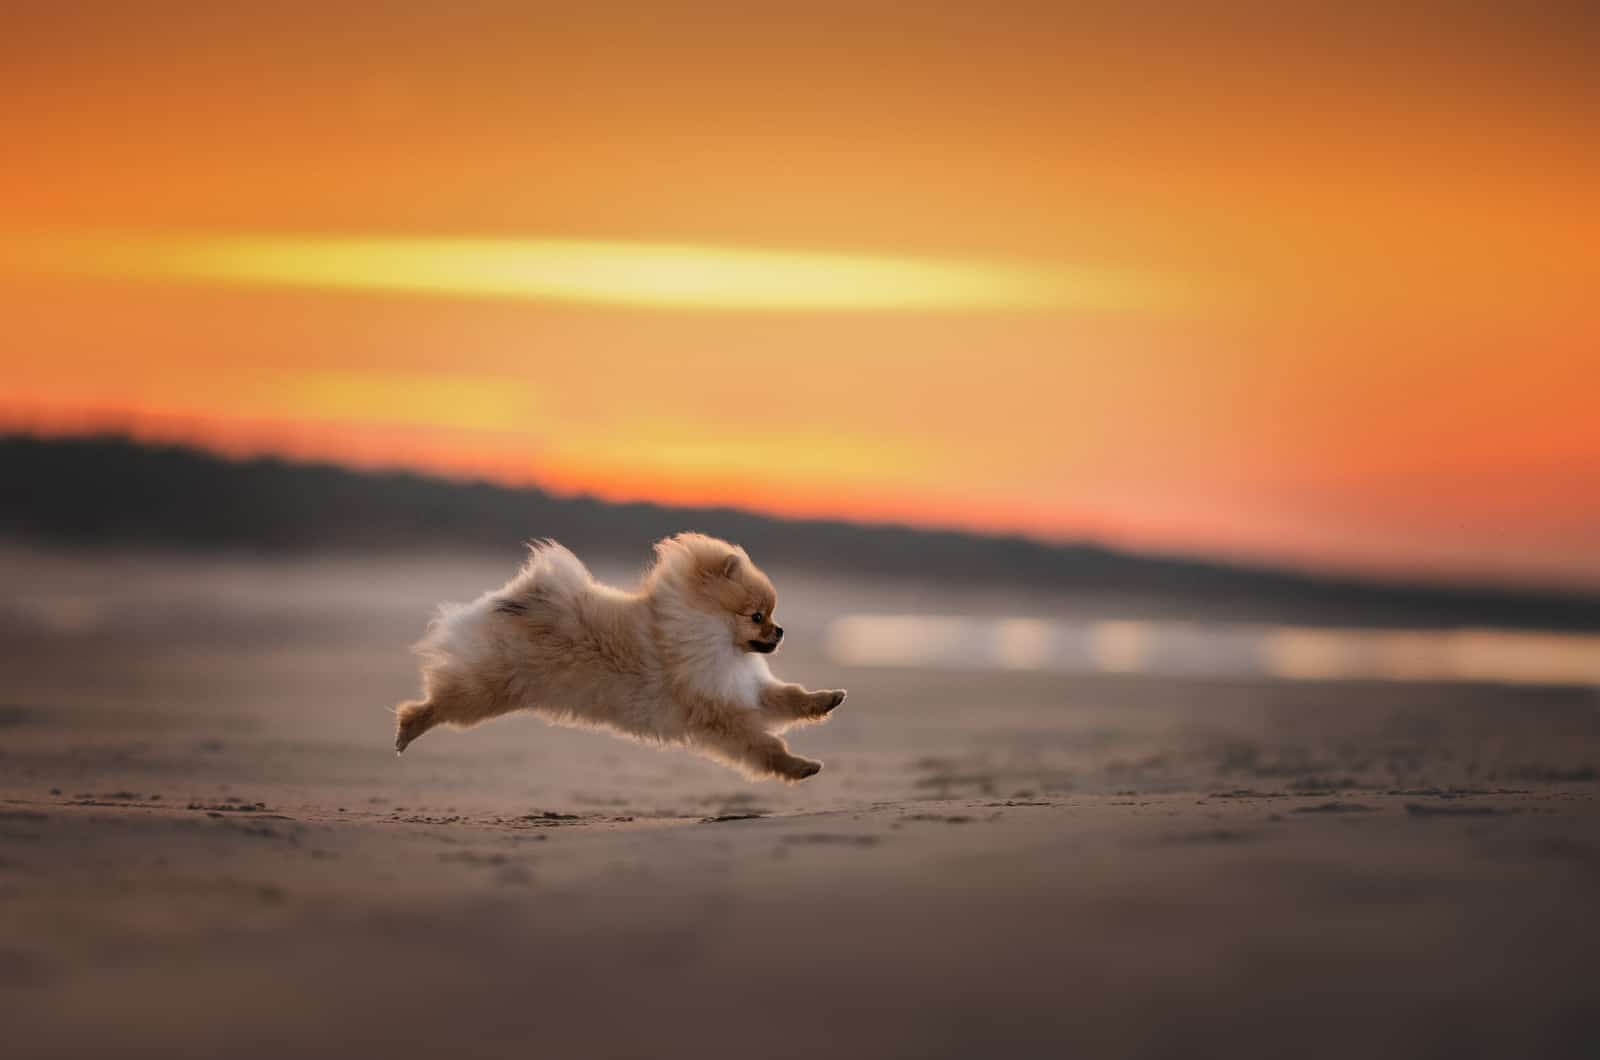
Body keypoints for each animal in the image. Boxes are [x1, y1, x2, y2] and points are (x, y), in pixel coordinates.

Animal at [393, 534, 844, 784]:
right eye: (757, 616)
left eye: (770, 615)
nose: (780, 631)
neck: (713, 638)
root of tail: (520, 600)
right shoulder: (721, 715)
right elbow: (764, 744)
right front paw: (799, 767)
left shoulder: (743, 689)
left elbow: (790, 697)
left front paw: (827, 699)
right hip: (484, 693)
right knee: (437, 703)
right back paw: (408, 729)